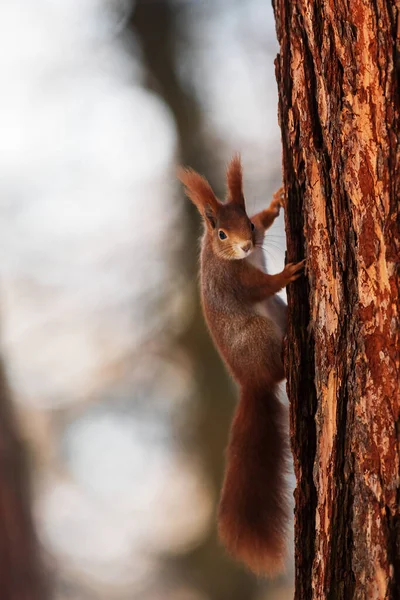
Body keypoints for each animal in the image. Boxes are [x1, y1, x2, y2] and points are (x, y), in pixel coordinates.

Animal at [177, 156, 304, 576]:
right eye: (220, 233)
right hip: (258, 334)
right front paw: (286, 273)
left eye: (246, 223)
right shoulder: (234, 281)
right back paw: (285, 354)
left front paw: (276, 202)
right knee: (277, 370)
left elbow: (267, 222)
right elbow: (258, 287)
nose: (247, 245)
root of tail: (251, 383)